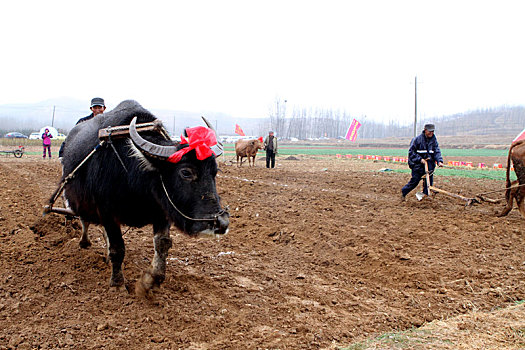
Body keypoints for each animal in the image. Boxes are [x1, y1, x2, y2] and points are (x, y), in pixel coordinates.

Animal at [58, 100, 228, 296]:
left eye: (215, 172)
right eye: (186, 172)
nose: (221, 222)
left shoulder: (163, 210)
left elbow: (162, 243)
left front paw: (152, 280)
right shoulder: (107, 213)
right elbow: (117, 248)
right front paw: (117, 284)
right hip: (78, 201)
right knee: (84, 220)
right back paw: (84, 243)